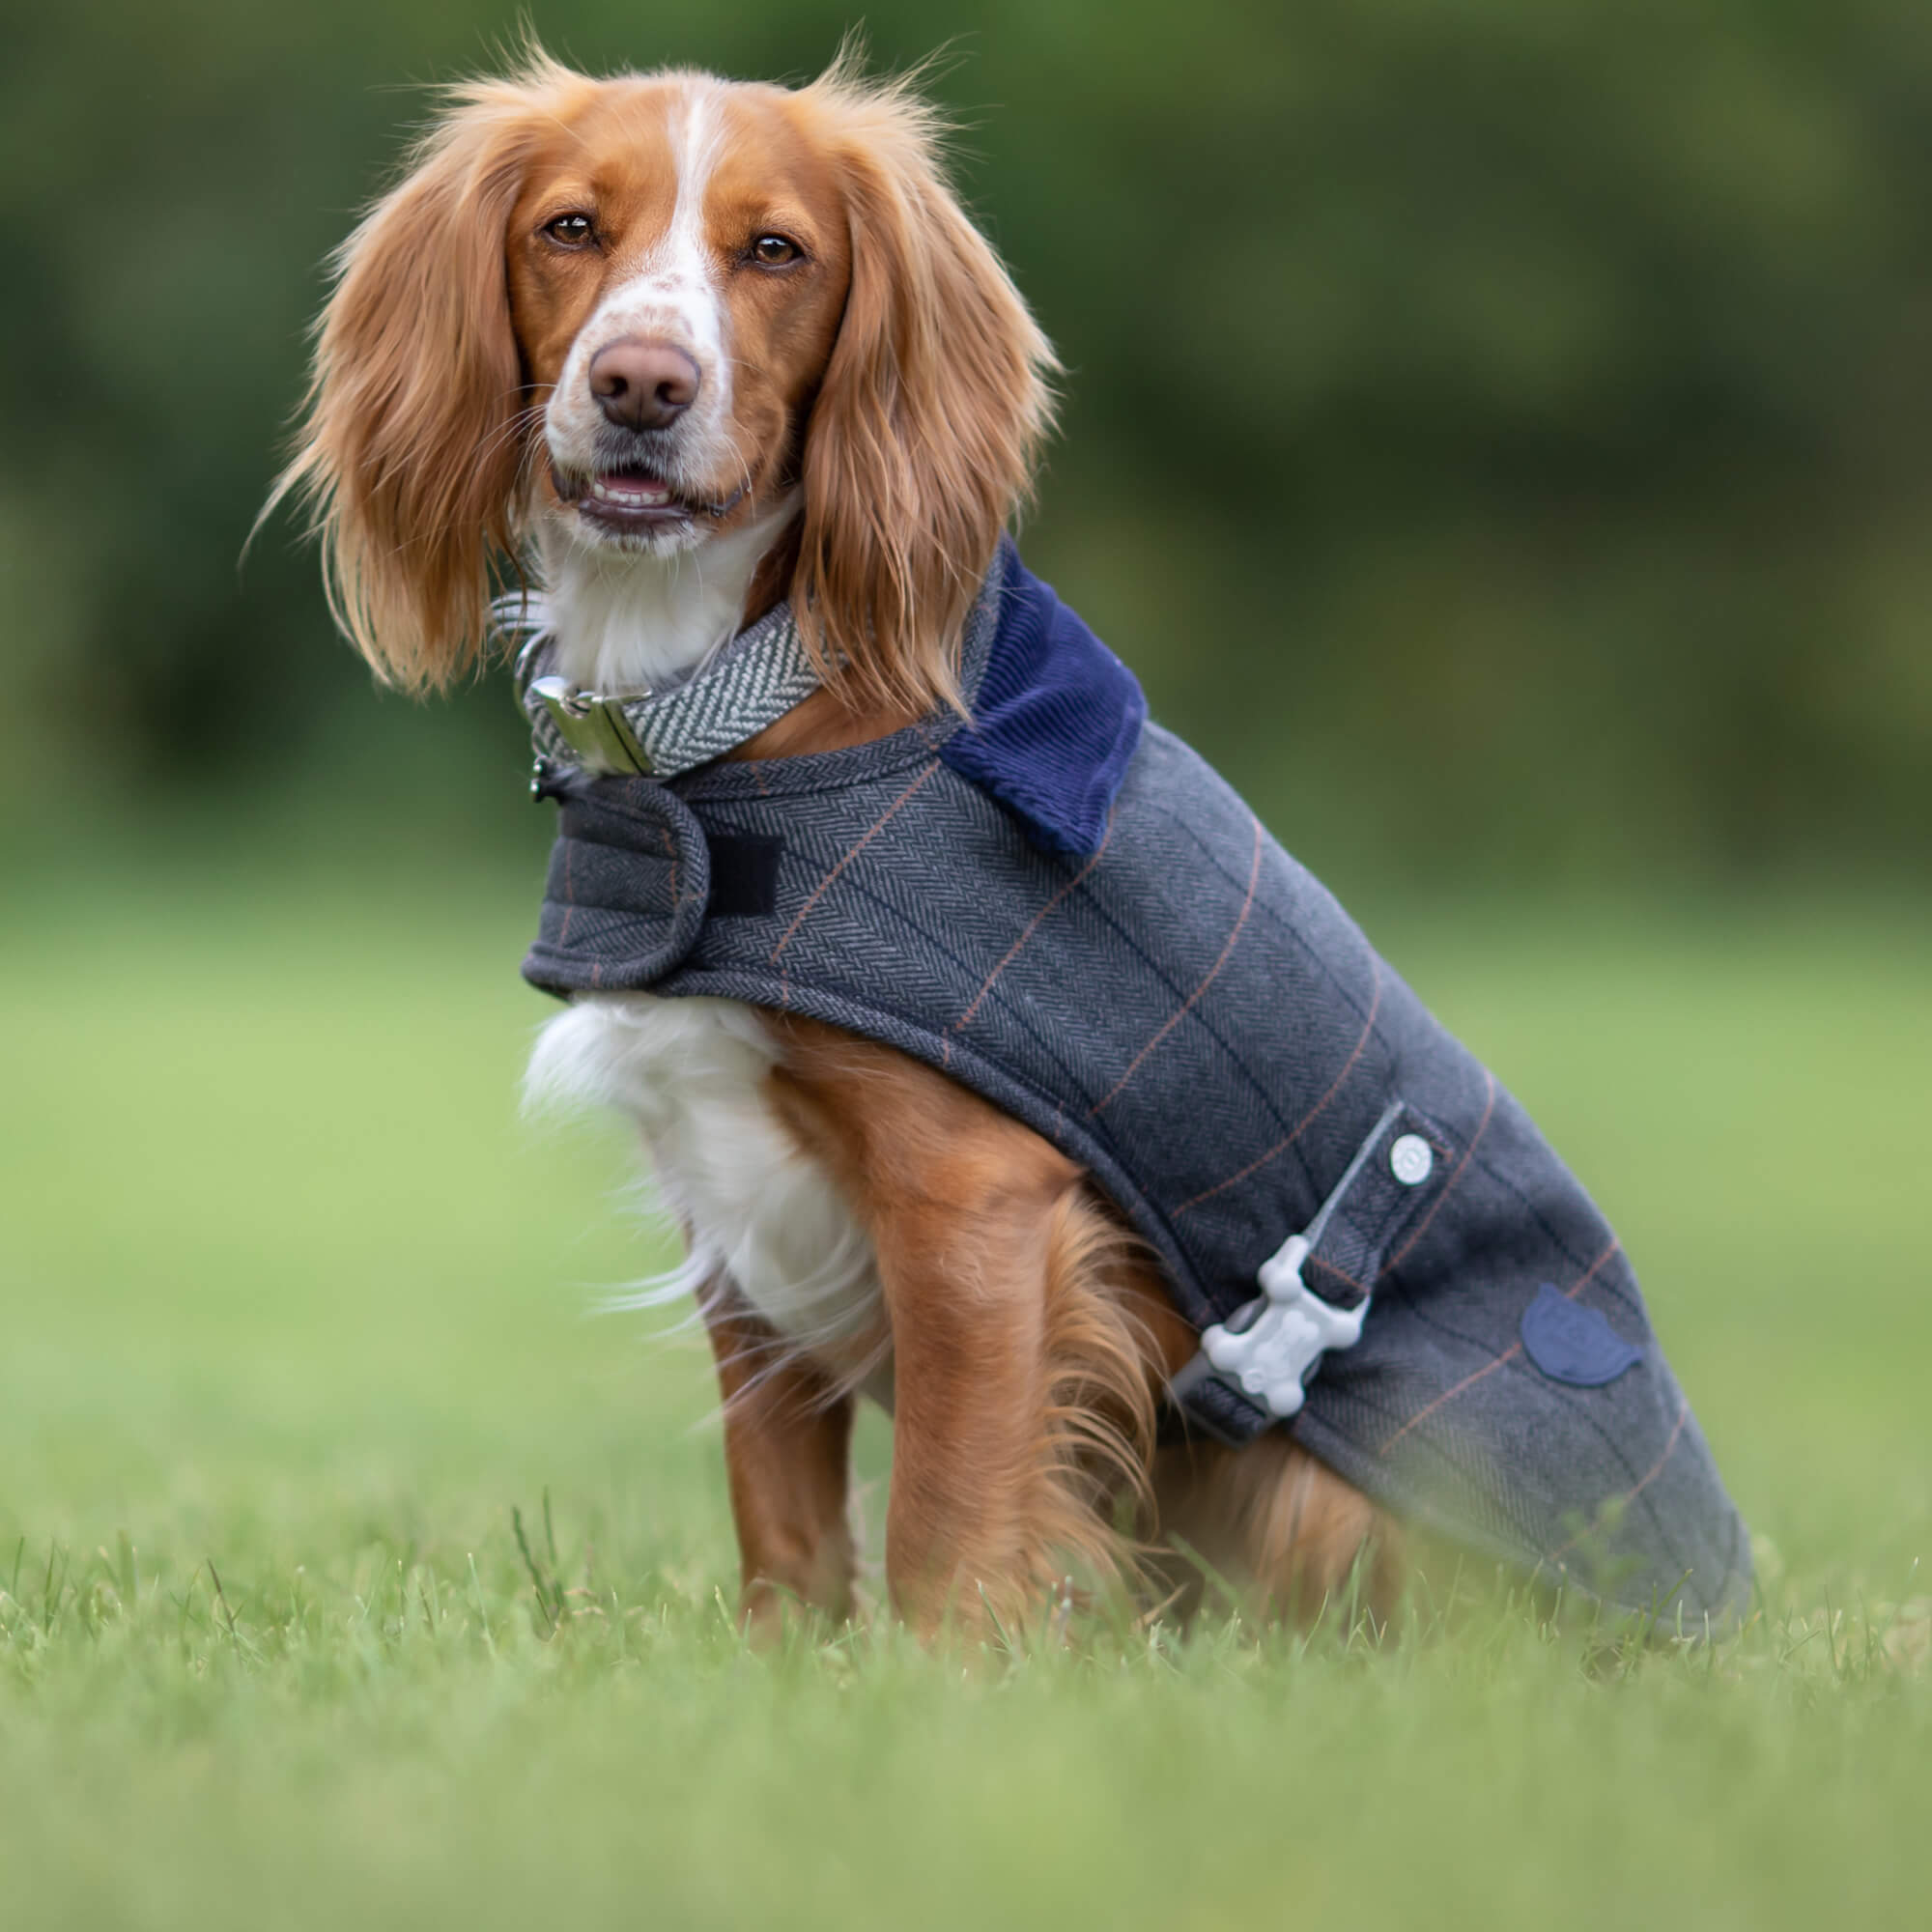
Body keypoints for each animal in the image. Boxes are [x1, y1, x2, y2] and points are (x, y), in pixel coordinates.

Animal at [272, 48, 1754, 1646]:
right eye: (567, 228)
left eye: (776, 250)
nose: (642, 385)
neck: (741, 703)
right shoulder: (737, 1208)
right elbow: (783, 1513)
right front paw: (786, 1668)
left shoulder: (977, 1202)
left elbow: (947, 1508)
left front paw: (938, 1682)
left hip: (1340, 1491)